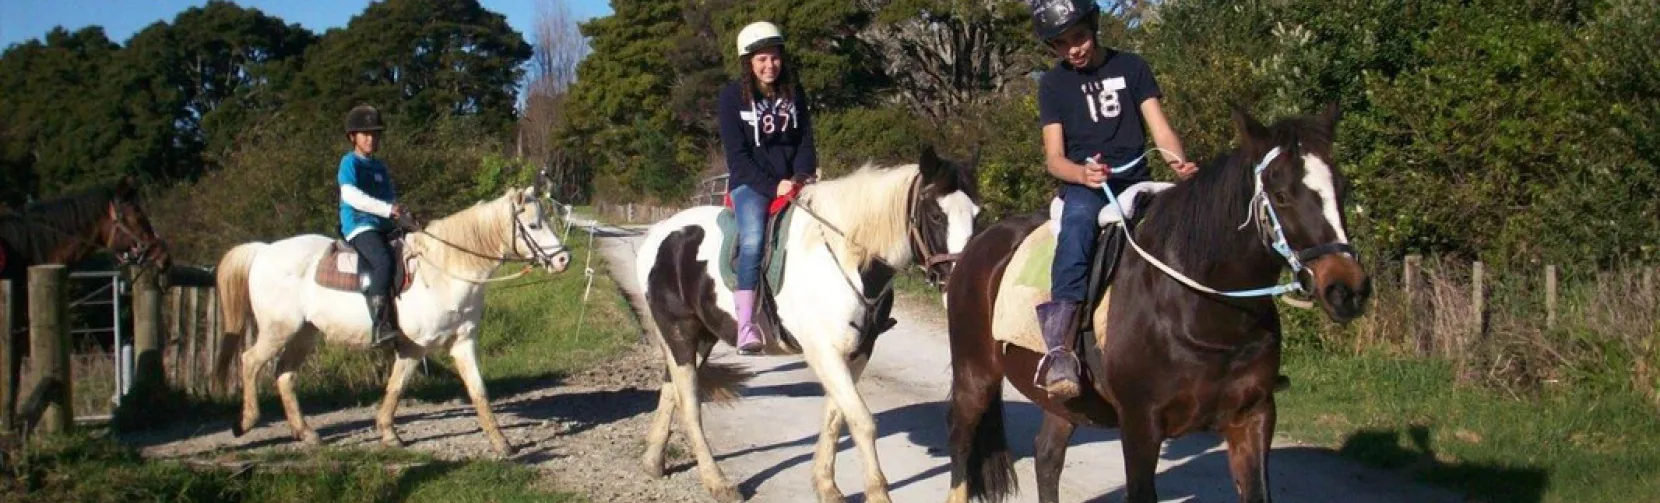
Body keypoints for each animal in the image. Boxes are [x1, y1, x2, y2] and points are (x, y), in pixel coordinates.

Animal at [211, 185, 571, 455]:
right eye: (534, 226)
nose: (564, 259)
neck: (444, 271)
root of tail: (263, 250)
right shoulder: (415, 346)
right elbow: (396, 386)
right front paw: (389, 434)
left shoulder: (463, 341)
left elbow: (478, 391)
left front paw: (501, 443)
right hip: (278, 330)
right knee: (249, 361)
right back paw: (245, 422)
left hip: (304, 334)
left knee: (284, 375)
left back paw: (307, 433)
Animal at [633, 146, 980, 503]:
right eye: (936, 215)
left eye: (977, 215)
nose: (960, 284)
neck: (847, 258)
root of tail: (660, 234)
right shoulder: (823, 352)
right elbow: (861, 420)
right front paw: (877, 493)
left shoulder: (856, 352)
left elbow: (835, 417)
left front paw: (827, 486)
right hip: (680, 332)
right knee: (689, 403)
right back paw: (717, 482)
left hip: (702, 335)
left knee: (671, 389)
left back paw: (653, 461)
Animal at [942, 104, 1372, 503]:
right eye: (1281, 196)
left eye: (1343, 188)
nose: (1347, 289)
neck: (1202, 312)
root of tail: (978, 245)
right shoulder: (1140, 425)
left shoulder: (1253, 416)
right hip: (974, 375)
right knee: (961, 448)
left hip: (1066, 400)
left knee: (1047, 456)